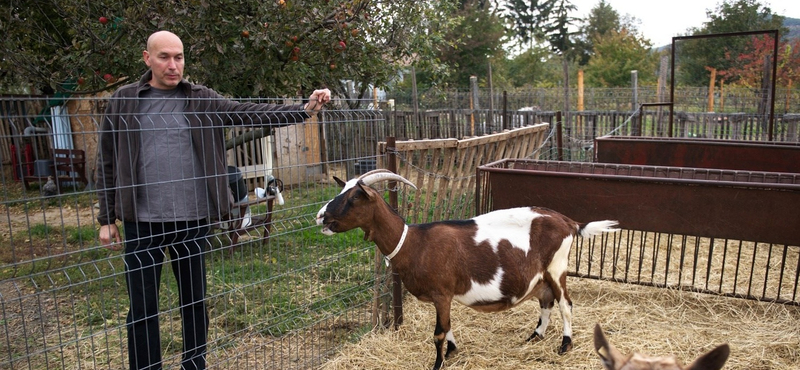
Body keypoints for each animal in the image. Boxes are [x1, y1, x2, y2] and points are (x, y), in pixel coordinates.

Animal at [316, 171, 620, 370]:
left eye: (355, 196)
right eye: (341, 191)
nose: (321, 216)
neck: (414, 242)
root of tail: (570, 222)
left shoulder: (441, 293)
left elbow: (439, 332)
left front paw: (438, 363)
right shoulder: (444, 297)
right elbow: (447, 325)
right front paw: (452, 352)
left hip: (557, 266)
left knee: (565, 304)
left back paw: (565, 345)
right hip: (542, 274)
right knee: (546, 301)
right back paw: (535, 336)